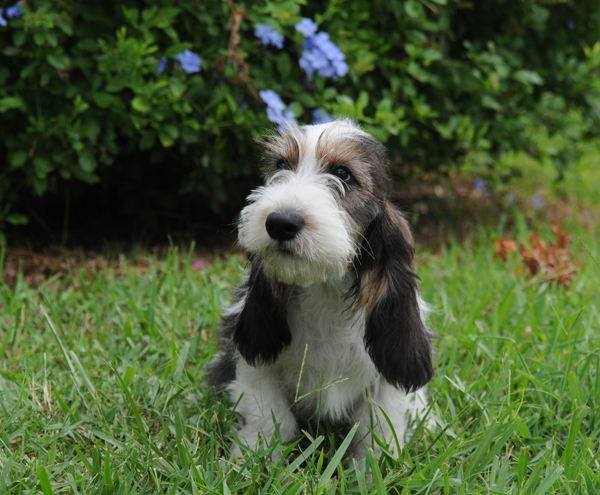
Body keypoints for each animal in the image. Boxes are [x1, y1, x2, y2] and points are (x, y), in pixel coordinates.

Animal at [209, 119, 434, 462]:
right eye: (281, 165)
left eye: (342, 173)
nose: (280, 222)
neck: (323, 291)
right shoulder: (258, 370)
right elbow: (271, 421)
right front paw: (250, 460)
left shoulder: (384, 385)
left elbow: (377, 433)